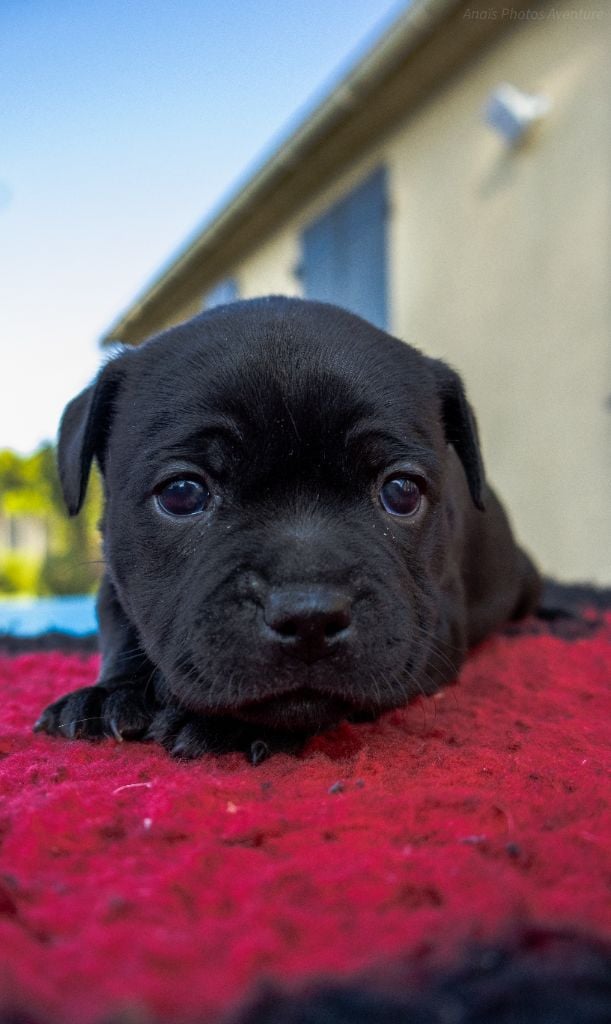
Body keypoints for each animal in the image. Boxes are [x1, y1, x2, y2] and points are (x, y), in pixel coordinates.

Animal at [34, 297, 540, 762]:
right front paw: (110, 693)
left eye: (402, 492)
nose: (309, 615)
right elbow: (120, 625)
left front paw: (229, 725)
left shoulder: (434, 625)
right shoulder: (116, 580)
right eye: (180, 493)